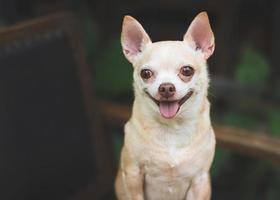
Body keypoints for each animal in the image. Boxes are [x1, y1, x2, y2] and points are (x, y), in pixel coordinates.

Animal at [115, 11, 215, 199]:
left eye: (187, 71)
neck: (172, 129)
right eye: (146, 73)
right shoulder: (133, 175)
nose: (166, 87)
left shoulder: (200, 180)